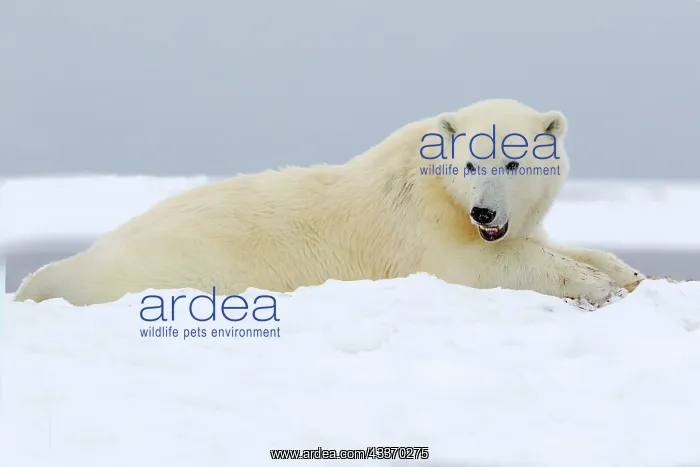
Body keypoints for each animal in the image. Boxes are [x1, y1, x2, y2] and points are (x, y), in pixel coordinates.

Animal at [14, 98, 645, 307]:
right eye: (470, 162)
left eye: (512, 162)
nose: (484, 212)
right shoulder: (419, 229)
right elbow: (480, 265)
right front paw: (591, 284)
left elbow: (554, 244)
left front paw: (627, 272)